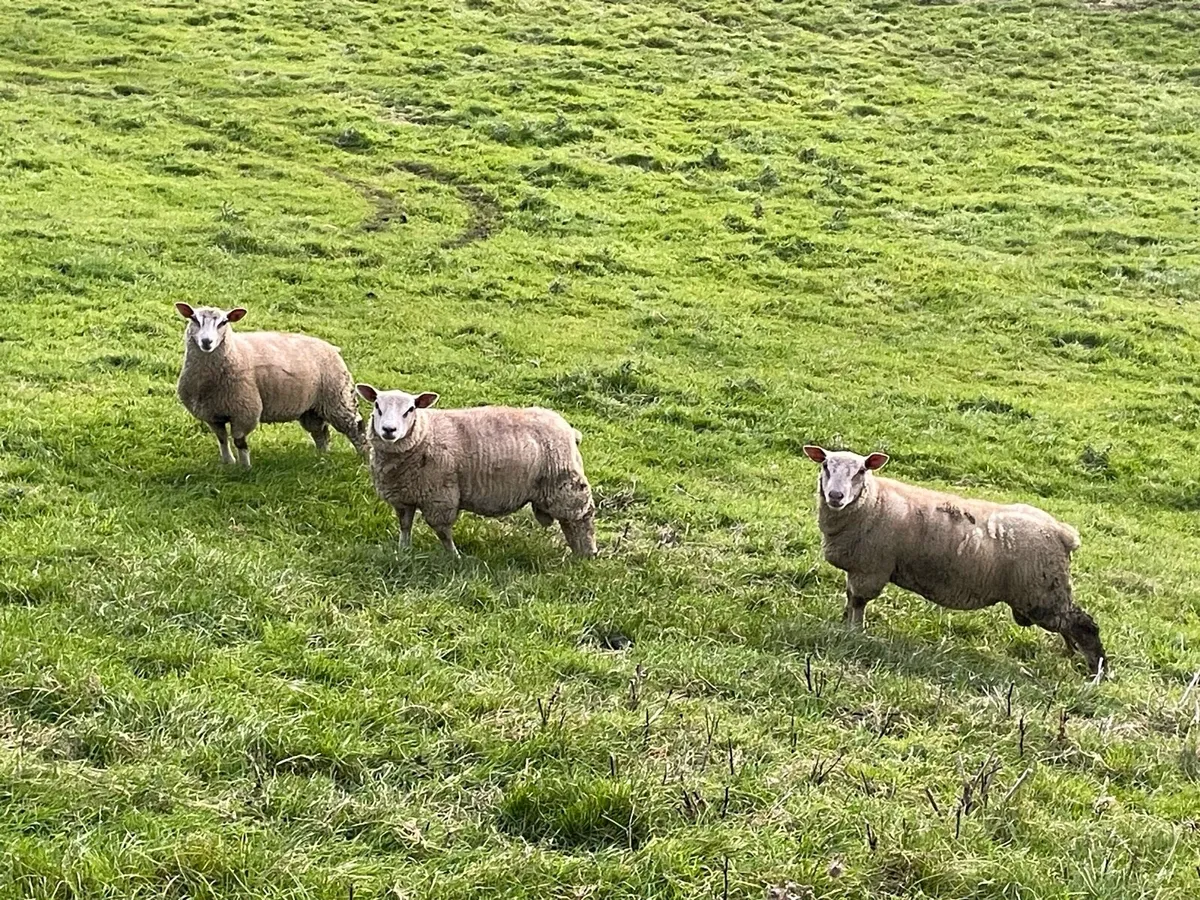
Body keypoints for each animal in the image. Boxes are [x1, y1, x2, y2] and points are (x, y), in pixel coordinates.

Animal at [174, 303, 365, 468]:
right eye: (194, 319)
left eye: (224, 322)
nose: (207, 342)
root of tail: (331, 347)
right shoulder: (211, 414)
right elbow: (222, 439)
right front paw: (228, 462)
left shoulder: (245, 411)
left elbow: (239, 441)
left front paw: (245, 468)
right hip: (311, 409)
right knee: (321, 433)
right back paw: (322, 457)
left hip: (338, 398)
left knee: (355, 428)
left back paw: (363, 456)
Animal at [356, 384, 597, 558]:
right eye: (377, 406)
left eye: (410, 409)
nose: (389, 430)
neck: (424, 434)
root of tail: (570, 430)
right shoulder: (403, 497)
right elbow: (405, 526)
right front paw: (403, 551)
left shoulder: (440, 498)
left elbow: (443, 532)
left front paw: (454, 557)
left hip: (565, 485)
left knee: (581, 518)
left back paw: (585, 554)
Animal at [802, 445, 1106, 676]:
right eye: (826, 465)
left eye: (861, 471)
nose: (836, 496)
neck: (874, 502)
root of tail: (1062, 532)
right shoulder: (857, 567)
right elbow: (849, 597)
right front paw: (843, 624)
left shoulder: (871, 569)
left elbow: (858, 602)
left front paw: (855, 632)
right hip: (1045, 594)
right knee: (1070, 626)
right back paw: (1072, 655)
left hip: (1041, 595)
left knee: (1085, 625)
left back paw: (1097, 671)